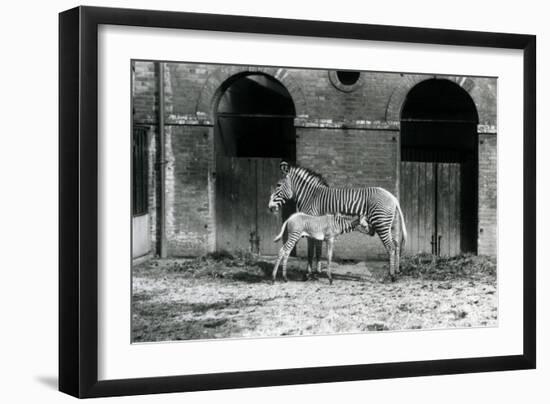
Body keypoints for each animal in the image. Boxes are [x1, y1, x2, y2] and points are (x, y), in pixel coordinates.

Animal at [270, 161, 408, 280]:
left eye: (278, 185)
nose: (270, 208)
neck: (311, 196)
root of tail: (393, 197)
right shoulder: (317, 227)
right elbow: (318, 250)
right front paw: (317, 272)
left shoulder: (312, 224)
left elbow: (311, 251)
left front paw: (309, 273)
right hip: (389, 224)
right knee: (396, 245)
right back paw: (397, 271)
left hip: (381, 223)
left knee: (390, 247)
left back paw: (391, 276)